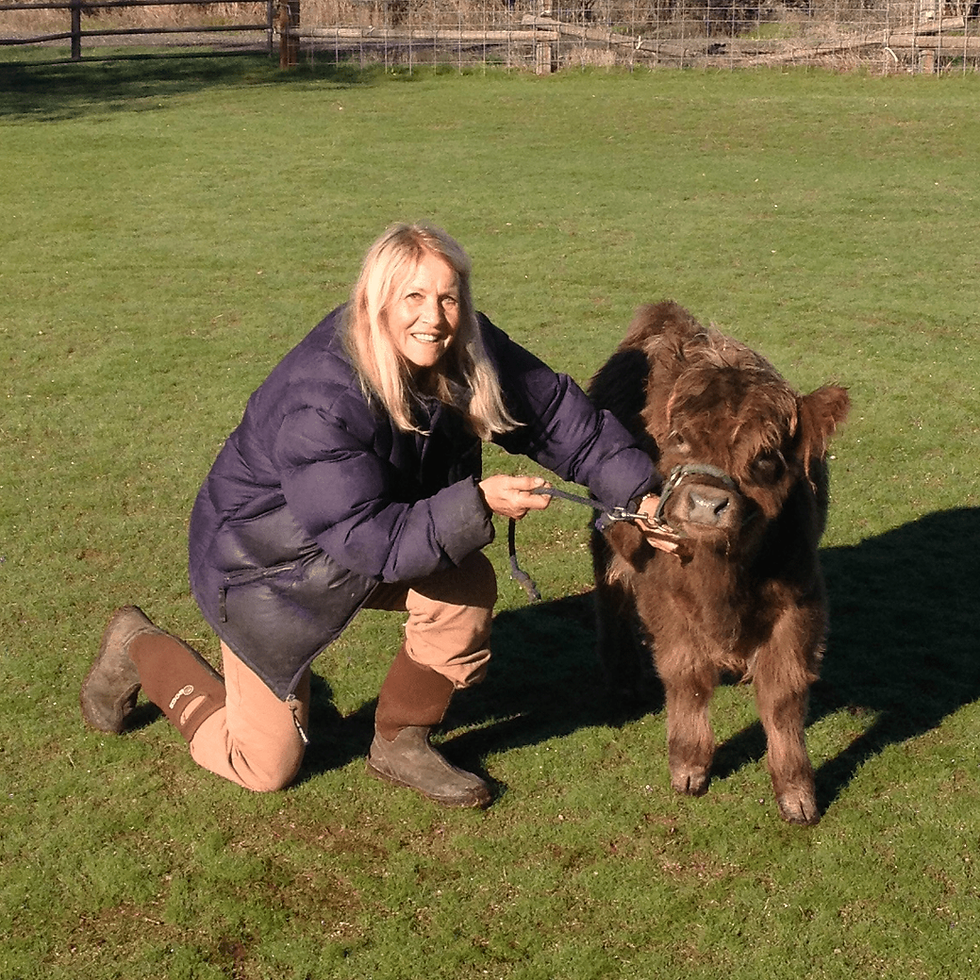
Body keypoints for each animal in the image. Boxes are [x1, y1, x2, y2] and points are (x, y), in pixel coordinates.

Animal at [589, 301, 850, 825]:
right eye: (679, 438)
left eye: (766, 456)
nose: (707, 503)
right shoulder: (662, 595)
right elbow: (686, 676)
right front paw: (690, 764)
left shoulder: (801, 602)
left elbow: (784, 695)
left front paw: (797, 791)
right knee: (610, 592)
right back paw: (622, 678)